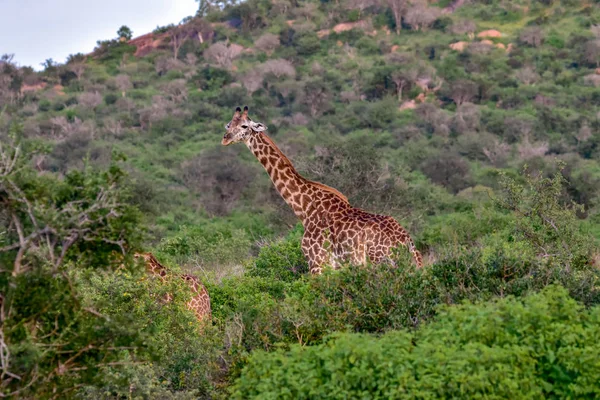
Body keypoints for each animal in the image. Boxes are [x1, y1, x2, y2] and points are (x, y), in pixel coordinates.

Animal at [220, 105, 422, 276]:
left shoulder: (317, 263)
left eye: (244, 125)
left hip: (381, 265)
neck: (305, 207)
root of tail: (408, 244)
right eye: (229, 124)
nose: (225, 138)